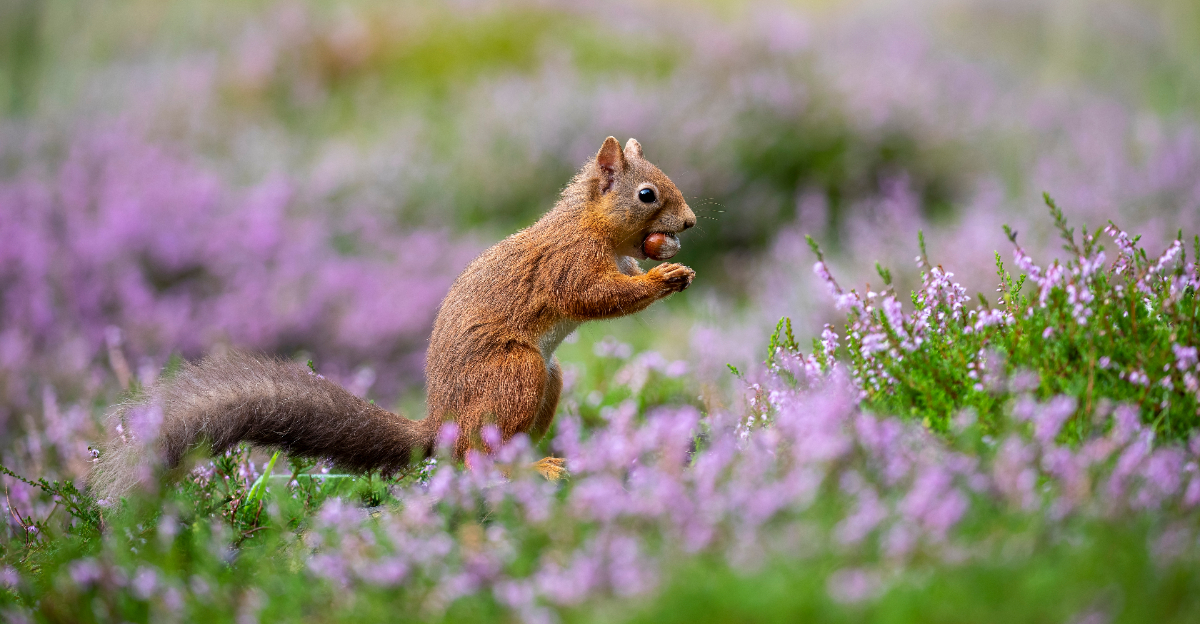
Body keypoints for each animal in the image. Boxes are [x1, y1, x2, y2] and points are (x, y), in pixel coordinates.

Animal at [90, 137, 696, 499]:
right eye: (646, 194)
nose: (689, 223)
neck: (587, 224)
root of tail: (438, 426)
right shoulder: (567, 265)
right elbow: (596, 297)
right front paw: (662, 278)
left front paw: (664, 262)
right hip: (514, 374)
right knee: (470, 458)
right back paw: (527, 471)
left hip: (546, 379)